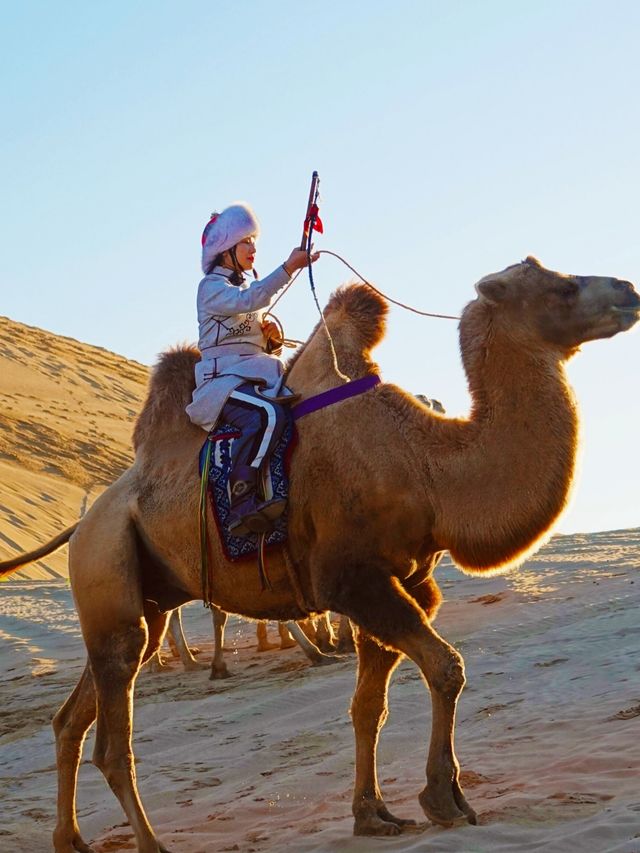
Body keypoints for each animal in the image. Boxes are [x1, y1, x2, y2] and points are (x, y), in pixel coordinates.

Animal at [2, 255, 636, 852]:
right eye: (562, 287)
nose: (628, 290)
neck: (428, 468)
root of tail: (86, 522)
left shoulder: (407, 581)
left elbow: (368, 705)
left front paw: (374, 814)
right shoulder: (354, 580)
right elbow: (446, 668)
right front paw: (445, 799)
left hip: (140, 600)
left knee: (72, 717)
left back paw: (70, 838)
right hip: (108, 565)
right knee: (113, 741)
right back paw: (151, 841)